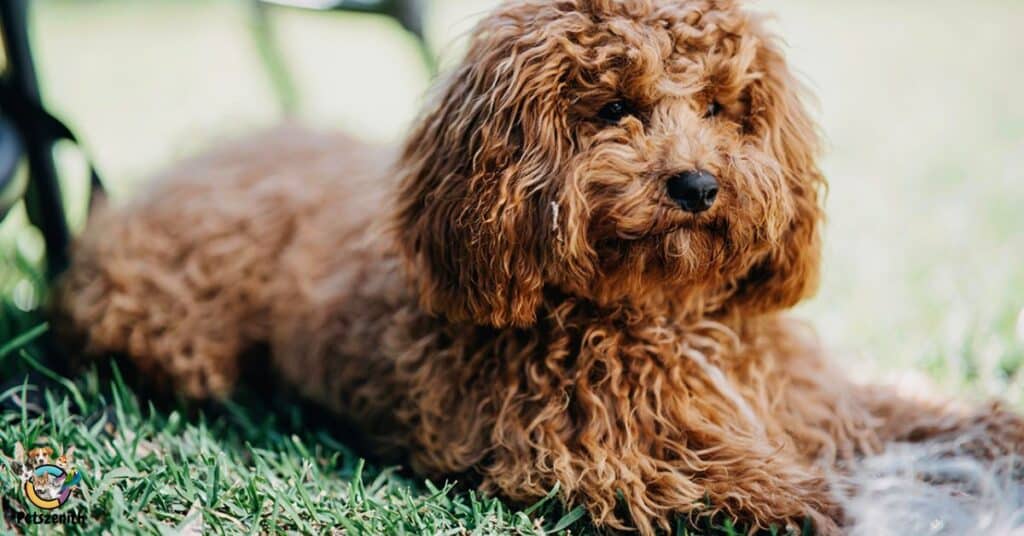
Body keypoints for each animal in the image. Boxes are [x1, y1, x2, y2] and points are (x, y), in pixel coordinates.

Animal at [56, 0, 1024, 532]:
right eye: (615, 108)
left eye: (721, 107)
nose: (696, 184)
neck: (664, 311)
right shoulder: (606, 454)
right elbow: (787, 486)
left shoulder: (811, 396)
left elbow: (908, 409)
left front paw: (993, 431)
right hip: (174, 328)